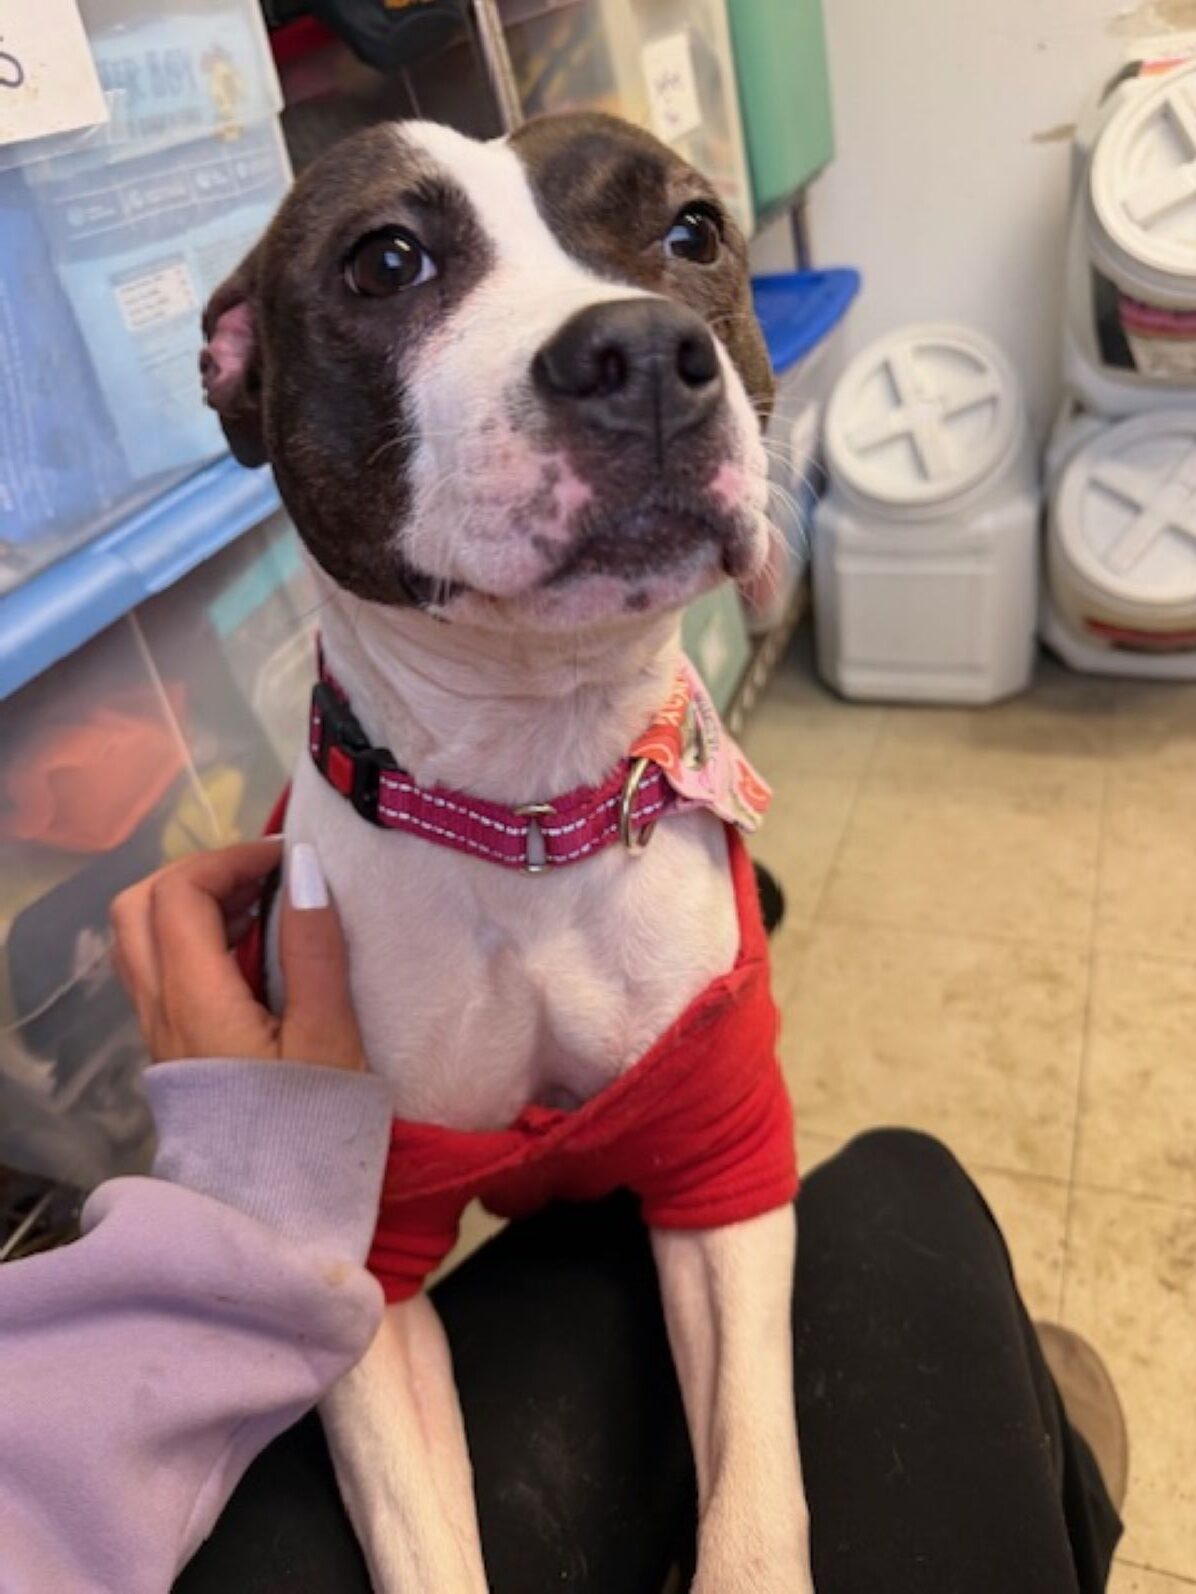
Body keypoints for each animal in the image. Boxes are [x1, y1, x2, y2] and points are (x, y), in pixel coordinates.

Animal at [201, 112, 812, 1593]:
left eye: (692, 230)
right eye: (384, 260)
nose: (639, 351)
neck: (529, 801)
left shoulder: (720, 1165)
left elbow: (756, 1502)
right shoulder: (366, 1248)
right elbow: (421, 1535)